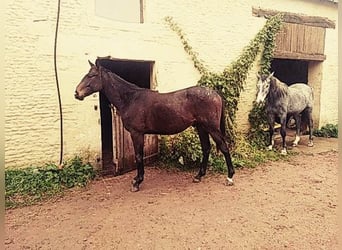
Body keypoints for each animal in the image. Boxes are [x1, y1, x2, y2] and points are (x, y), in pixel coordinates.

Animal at [75, 60, 235, 191]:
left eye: (92, 75)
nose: (77, 93)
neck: (130, 99)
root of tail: (215, 93)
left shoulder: (136, 133)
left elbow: (139, 156)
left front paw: (137, 182)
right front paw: (137, 179)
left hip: (211, 128)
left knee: (224, 147)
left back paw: (229, 177)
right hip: (201, 127)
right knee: (206, 148)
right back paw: (198, 176)